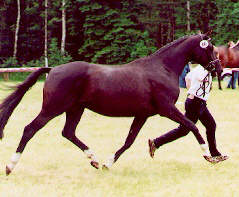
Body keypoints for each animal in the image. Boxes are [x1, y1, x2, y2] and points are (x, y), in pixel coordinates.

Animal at [0, 32, 220, 175]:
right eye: (210, 48)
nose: (217, 68)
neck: (162, 68)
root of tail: (52, 69)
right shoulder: (167, 109)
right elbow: (192, 126)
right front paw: (209, 156)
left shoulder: (142, 114)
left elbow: (129, 141)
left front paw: (108, 164)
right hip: (53, 108)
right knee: (30, 129)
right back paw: (10, 166)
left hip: (75, 109)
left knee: (68, 132)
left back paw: (94, 160)